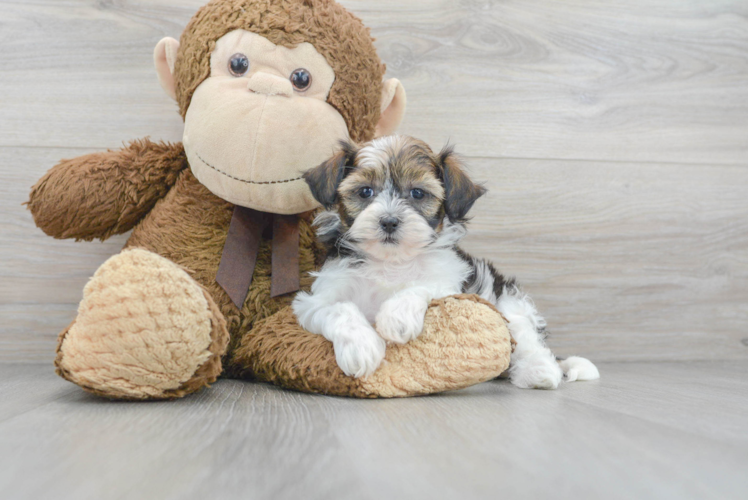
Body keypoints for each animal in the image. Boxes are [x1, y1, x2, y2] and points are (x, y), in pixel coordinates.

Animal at [290, 135, 600, 388]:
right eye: (365, 191)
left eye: (417, 193)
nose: (389, 221)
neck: (392, 261)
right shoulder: (315, 299)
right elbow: (338, 308)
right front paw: (361, 347)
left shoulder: (453, 283)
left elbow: (424, 286)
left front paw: (396, 317)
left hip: (509, 302)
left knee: (527, 340)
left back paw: (540, 372)